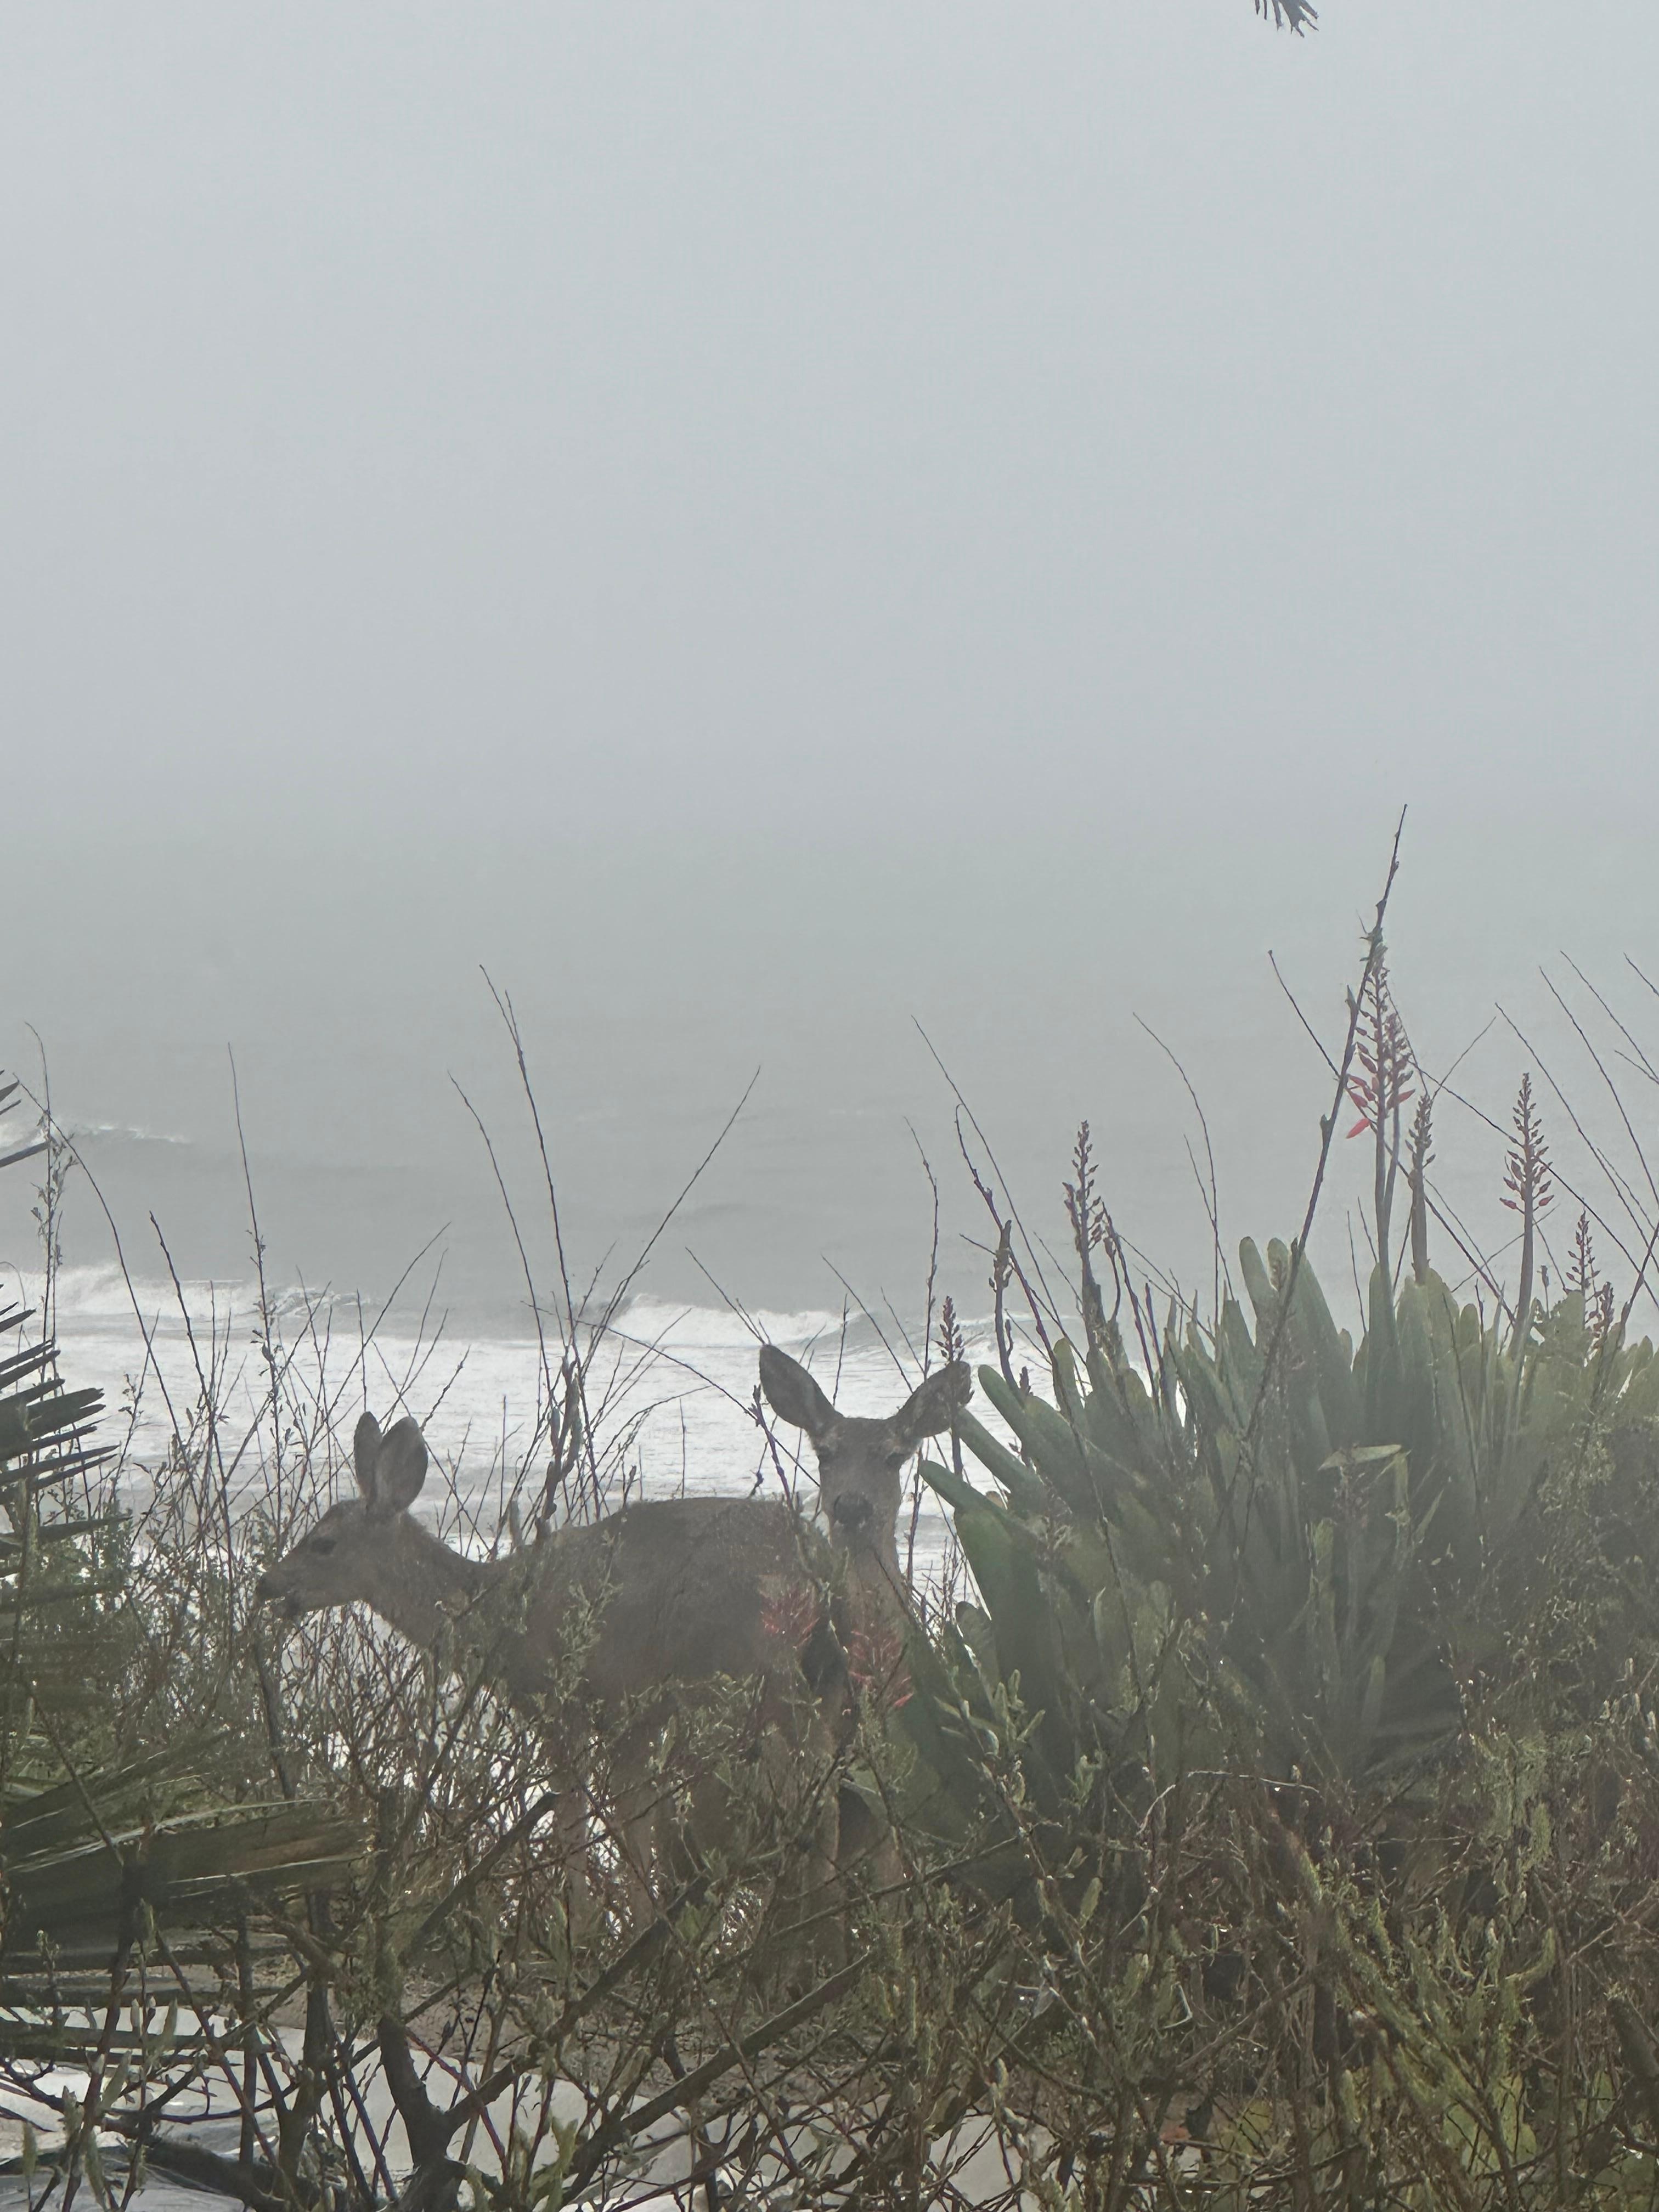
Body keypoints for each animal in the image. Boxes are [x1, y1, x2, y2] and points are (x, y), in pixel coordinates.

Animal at [255, 1350, 969, 1939]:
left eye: (322, 1543)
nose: (267, 1584)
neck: (496, 1618)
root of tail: (821, 1572)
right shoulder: (632, 1717)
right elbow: (635, 1825)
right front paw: (644, 1932)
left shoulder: (561, 1704)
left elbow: (575, 1823)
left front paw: (583, 1937)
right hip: (840, 1689)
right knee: (865, 1802)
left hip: (749, 1678)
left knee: (815, 1801)